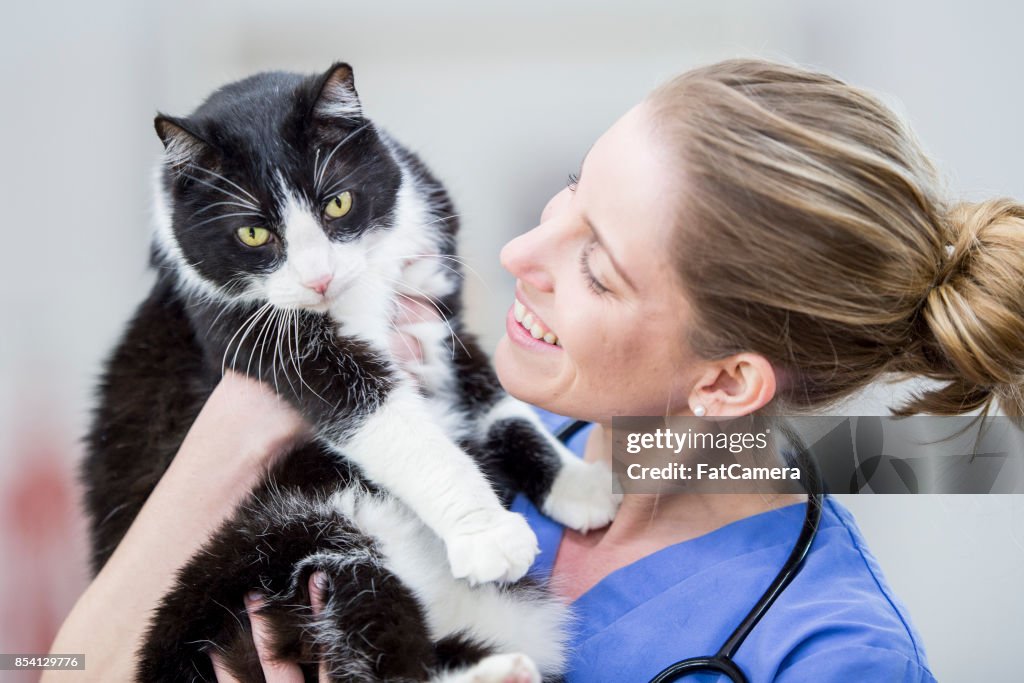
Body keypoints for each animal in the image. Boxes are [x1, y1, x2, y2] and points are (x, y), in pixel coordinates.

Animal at [81, 61, 614, 679]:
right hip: (279, 547)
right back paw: (500, 670)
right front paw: (487, 533)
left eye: (337, 204)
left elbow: (497, 401)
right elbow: (392, 425)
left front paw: (576, 485)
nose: (319, 278)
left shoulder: (435, 304)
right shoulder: (256, 332)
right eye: (253, 233)